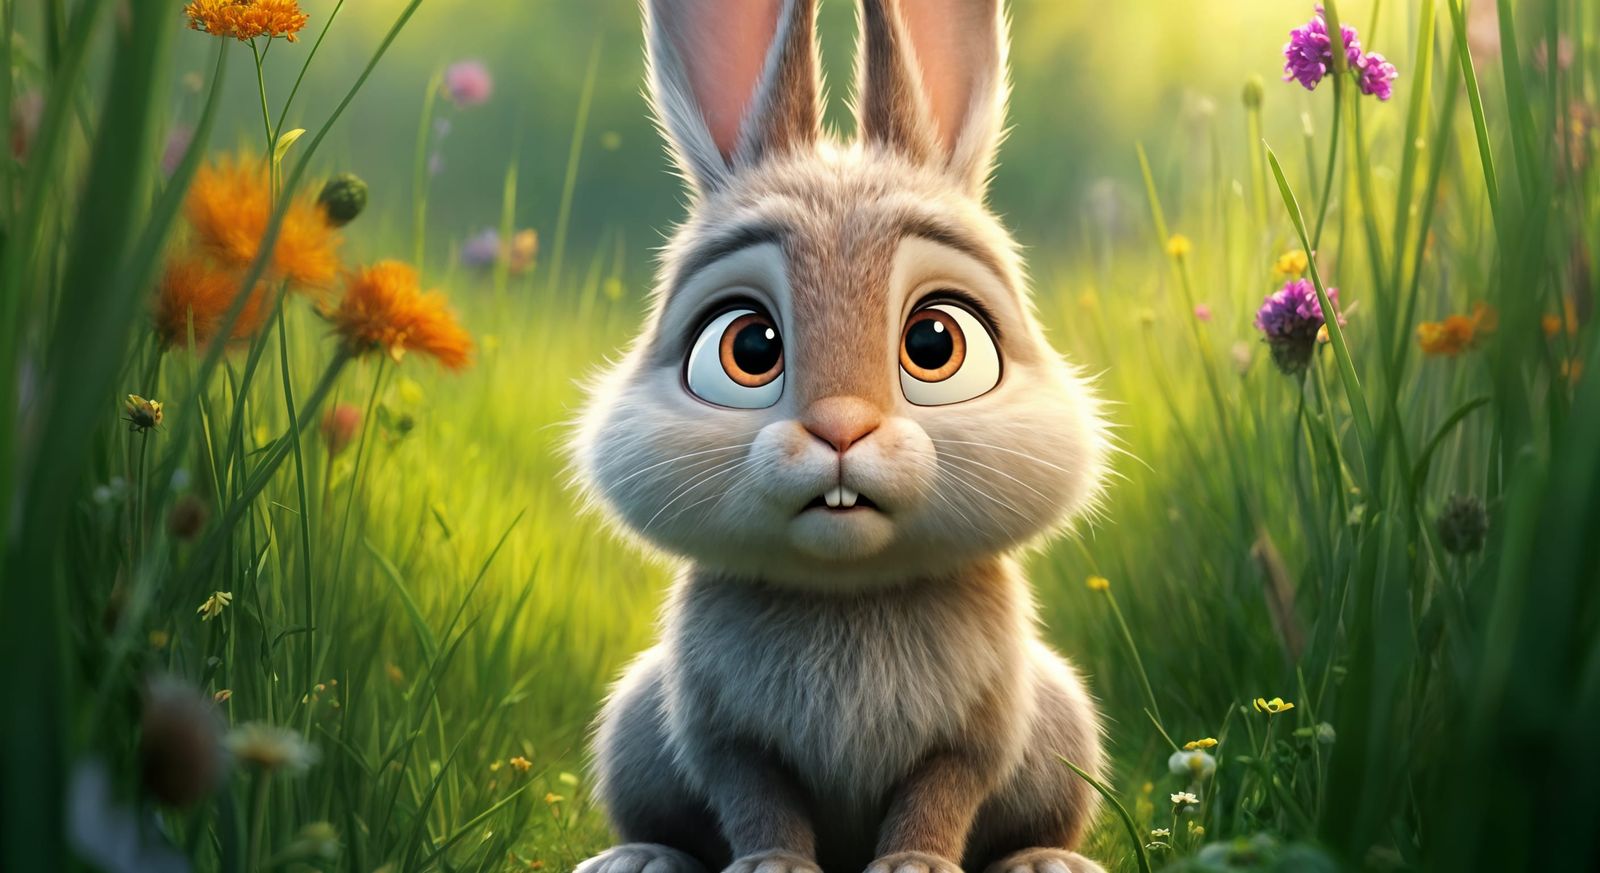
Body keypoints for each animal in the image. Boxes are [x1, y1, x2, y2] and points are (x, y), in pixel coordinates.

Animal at [571, 1, 1110, 872]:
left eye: (935, 342)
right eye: (749, 347)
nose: (841, 429)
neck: (848, 590)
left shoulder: (972, 741)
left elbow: (939, 796)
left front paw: (914, 865)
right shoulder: (726, 741)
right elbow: (757, 800)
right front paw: (772, 865)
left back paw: (1045, 860)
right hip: (634, 724)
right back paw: (640, 856)